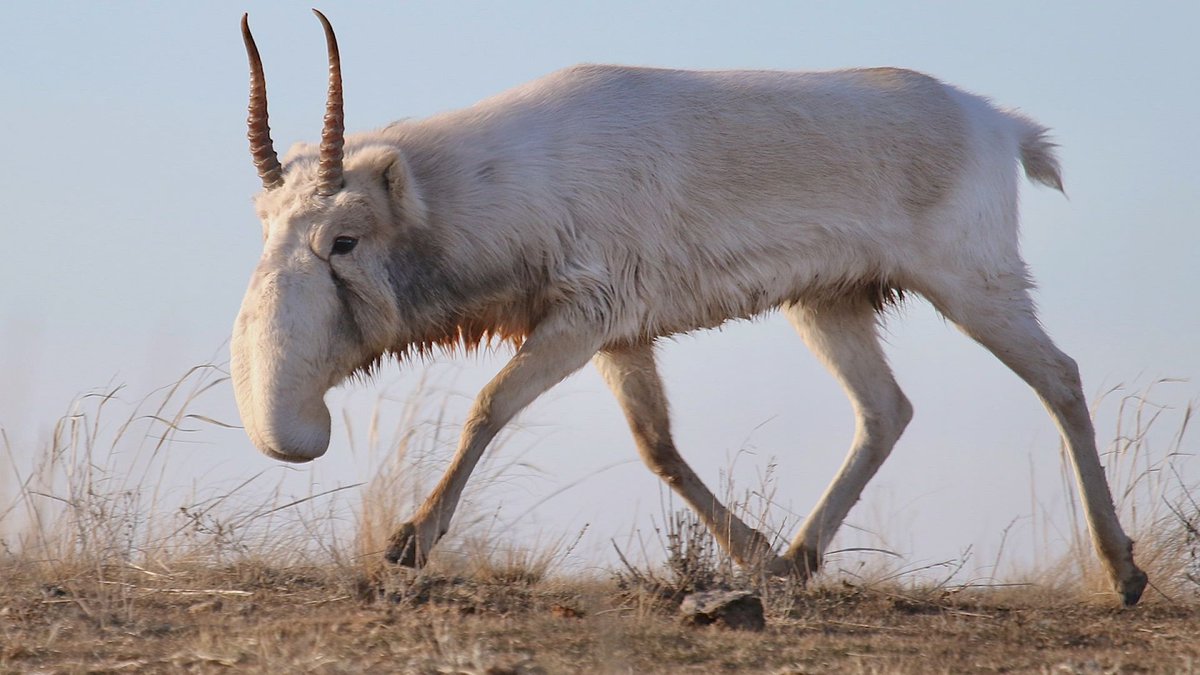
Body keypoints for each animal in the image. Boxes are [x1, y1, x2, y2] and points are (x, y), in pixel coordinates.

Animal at [231, 10, 1147, 604]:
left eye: (344, 238)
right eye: (265, 221)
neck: (507, 178)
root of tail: (999, 126)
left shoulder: (582, 322)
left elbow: (488, 406)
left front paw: (409, 543)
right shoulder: (616, 337)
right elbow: (658, 444)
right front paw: (752, 555)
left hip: (973, 284)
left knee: (1060, 377)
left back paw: (1125, 571)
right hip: (829, 305)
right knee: (886, 409)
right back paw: (795, 559)